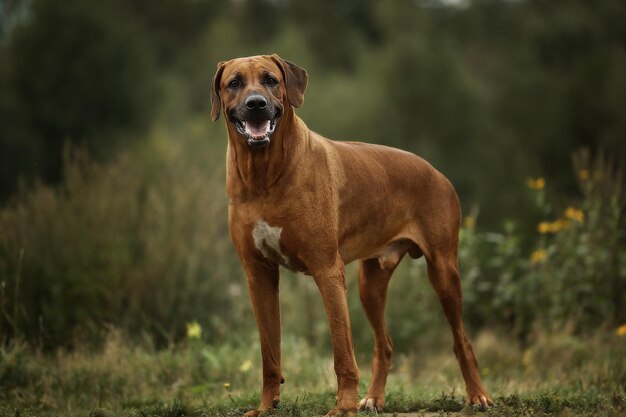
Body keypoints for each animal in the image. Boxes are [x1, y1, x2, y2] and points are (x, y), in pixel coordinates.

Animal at [211, 53, 492, 414]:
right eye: (234, 83)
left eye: (270, 79)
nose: (256, 104)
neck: (263, 174)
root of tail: (437, 173)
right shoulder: (258, 274)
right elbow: (269, 353)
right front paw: (266, 406)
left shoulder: (327, 269)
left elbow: (342, 347)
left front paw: (343, 406)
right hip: (370, 282)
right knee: (385, 343)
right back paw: (374, 397)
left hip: (443, 270)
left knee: (461, 340)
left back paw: (477, 395)